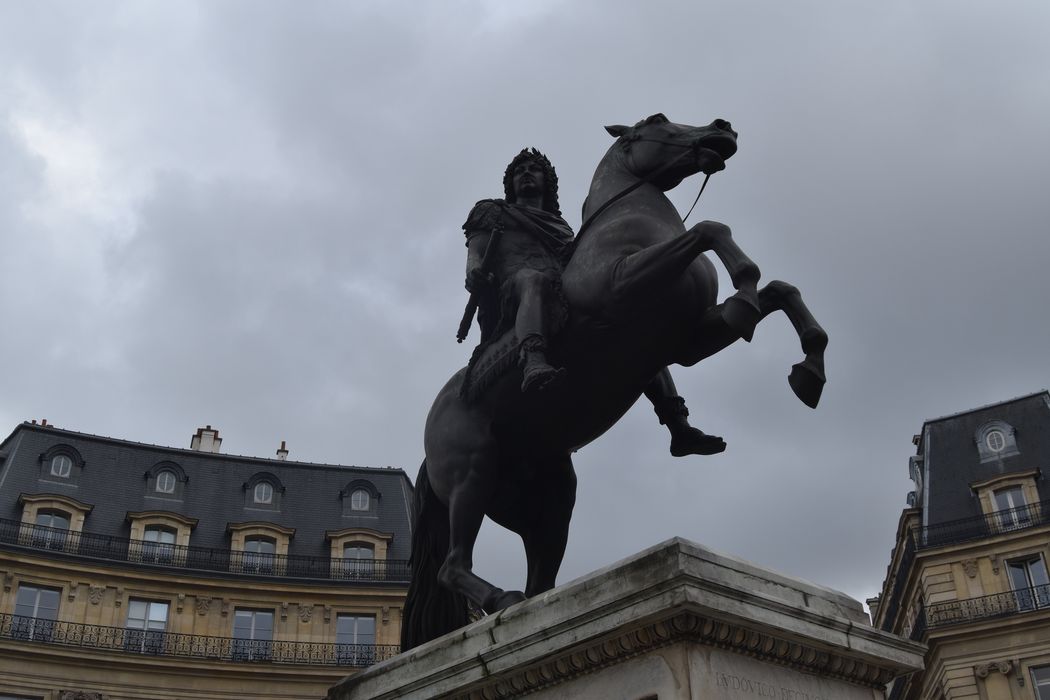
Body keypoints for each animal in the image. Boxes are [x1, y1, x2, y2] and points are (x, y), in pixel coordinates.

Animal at [401, 113, 827, 646]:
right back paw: (500, 599)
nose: (722, 127)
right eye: (658, 122)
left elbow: (780, 290)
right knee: (453, 565)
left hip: (550, 501)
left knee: (540, 580)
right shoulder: (625, 284)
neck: (625, 224)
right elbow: (710, 228)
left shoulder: (688, 340)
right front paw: (746, 287)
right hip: (471, 474)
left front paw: (809, 368)